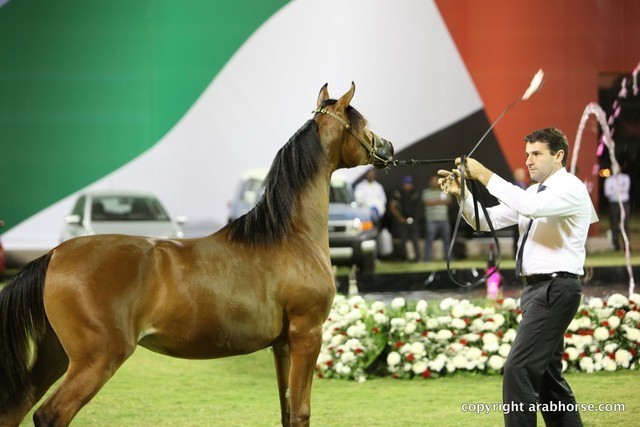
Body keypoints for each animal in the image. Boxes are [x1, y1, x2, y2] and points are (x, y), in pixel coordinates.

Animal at [0, 83, 394, 427]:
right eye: (363, 123)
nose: (388, 148)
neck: (290, 237)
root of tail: (54, 256)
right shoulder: (306, 334)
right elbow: (300, 414)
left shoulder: (282, 344)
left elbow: (286, 412)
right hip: (97, 359)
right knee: (50, 415)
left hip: (54, 356)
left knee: (14, 410)